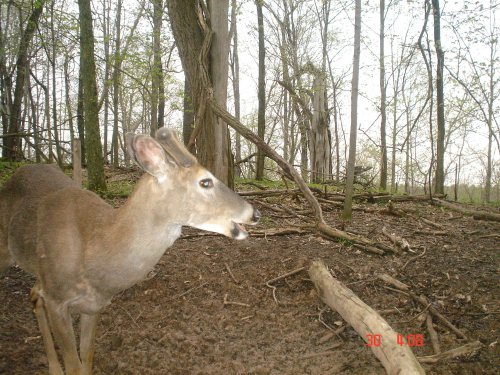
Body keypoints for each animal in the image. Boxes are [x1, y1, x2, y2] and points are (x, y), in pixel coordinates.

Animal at [0, 128, 262, 374]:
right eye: (205, 181)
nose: (255, 213)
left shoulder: (94, 304)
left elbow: (87, 357)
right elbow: (74, 364)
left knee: (34, 293)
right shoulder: (57, 299)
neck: (94, 252)